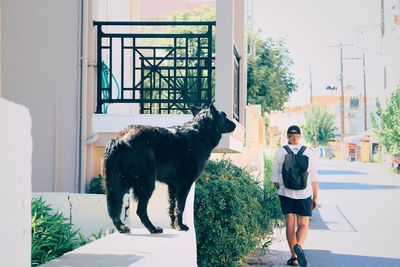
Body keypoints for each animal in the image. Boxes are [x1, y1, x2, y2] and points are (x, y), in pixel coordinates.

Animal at [103, 104, 236, 234]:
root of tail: (119, 140)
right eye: (225, 115)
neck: (201, 132)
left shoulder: (172, 186)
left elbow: (172, 206)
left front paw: (174, 225)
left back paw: (121, 227)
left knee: (114, 209)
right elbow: (180, 207)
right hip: (146, 184)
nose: (235, 124)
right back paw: (153, 228)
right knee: (140, 210)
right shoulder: (184, 185)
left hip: (117, 185)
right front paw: (181, 226)